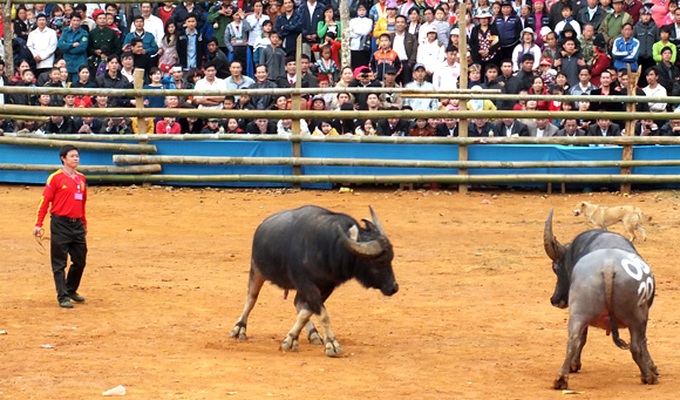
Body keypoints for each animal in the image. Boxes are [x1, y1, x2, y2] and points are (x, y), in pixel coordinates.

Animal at [231, 205, 398, 356]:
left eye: (391, 258)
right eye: (380, 261)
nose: (394, 287)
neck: (328, 248)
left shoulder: (326, 287)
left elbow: (306, 312)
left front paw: (291, 339)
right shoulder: (307, 285)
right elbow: (323, 314)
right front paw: (332, 344)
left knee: (298, 302)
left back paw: (312, 333)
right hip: (256, 270)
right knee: (251, 299)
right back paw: (239, 328)